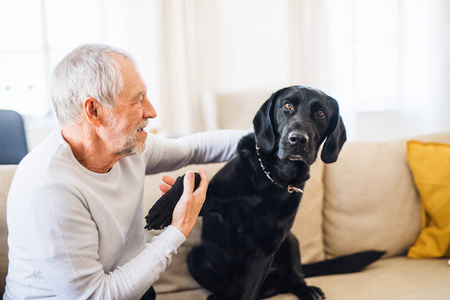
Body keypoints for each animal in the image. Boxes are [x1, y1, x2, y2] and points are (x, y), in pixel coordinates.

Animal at [147, 85, 384, 298]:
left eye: (320, 113)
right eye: (287, 105)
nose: (297, 139)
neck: (275, 176)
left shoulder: (266, 248)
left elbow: (250, 292)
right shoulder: (210, 202)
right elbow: (193, 176)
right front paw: (163, 208)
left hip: (291, 240)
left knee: (293, 278)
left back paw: (307, 290)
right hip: (195, 258)